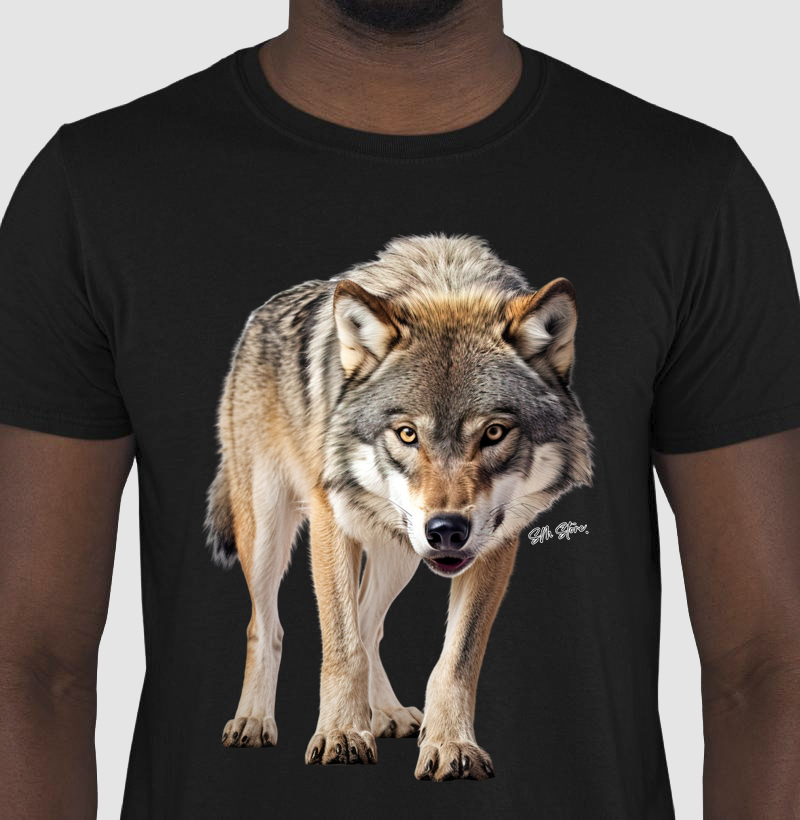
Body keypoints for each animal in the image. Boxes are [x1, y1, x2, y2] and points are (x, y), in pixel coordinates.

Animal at [206, 235, 592, 780]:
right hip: (266, 534)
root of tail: (257, 317)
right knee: (266, 625)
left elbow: (455, 660)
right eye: (407, 434)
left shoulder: (496, 544)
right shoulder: (330, 523)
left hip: (401, 554)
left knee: (371, 625)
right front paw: (342, 735)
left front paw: (449, 744)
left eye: (494, 432)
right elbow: (342, 647)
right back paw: (254, 720)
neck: (444, 286)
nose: (447, 529)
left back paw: (385, 713)